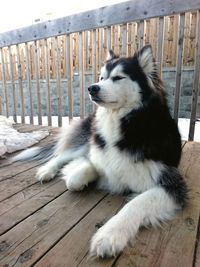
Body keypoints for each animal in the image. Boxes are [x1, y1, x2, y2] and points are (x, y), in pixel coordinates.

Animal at [14, 45, 188, 258]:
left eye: (118, 77)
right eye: (101, 77)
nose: (92, 87)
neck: (123, 123)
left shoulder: (173, 184)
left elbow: (135, 204)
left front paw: (110, 235)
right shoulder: (95, 151)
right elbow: (76, 178)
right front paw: (81, 176)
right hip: (86, 138)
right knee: (61, 155)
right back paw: (46, 171)